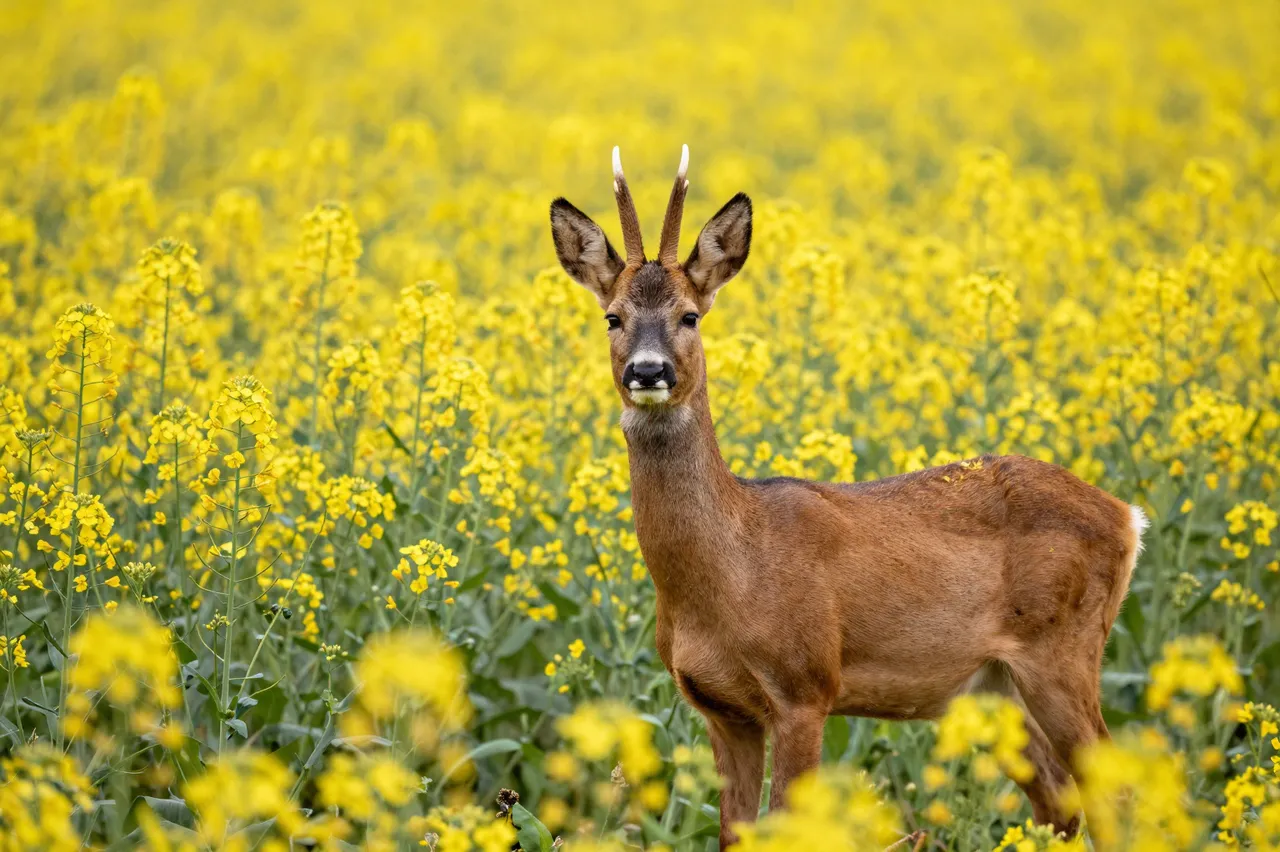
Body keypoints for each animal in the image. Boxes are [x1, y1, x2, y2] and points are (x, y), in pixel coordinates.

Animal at [549, 146, 1146, 849]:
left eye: (690, 315)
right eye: (612, 317)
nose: (648, 370)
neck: (731, 569)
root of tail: (1127, 516)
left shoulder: (806, 685)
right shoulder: (721, 708)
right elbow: (735, 834)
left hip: (1064, 649)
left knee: (1117, 790)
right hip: (990, 687)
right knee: (1059, 798)